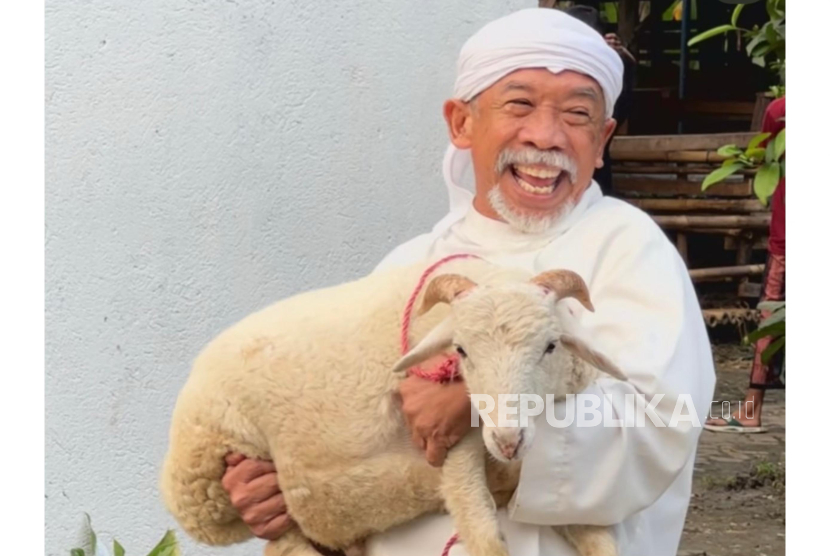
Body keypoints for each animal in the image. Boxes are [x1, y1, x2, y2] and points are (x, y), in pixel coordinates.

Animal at [161, 258, 632, 556]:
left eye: (551, 346)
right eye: (461, 350)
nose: (507, 439)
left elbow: (600, 541)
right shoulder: (455, 451)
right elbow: (485, 539)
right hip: (214, 472)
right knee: (282, 543)